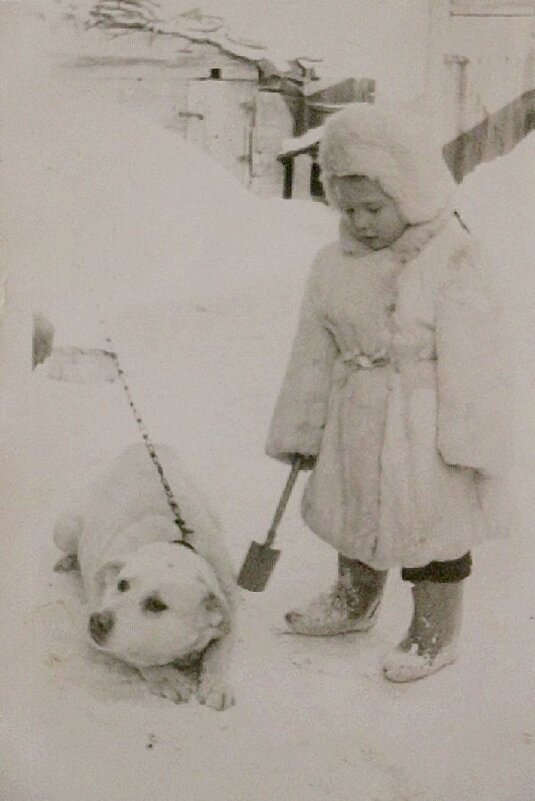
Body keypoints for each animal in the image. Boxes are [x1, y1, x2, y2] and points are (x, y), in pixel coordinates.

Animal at [54, 444, 237, 712]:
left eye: (156, 605)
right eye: (122, 584)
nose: (97, 621)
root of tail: (142, 446)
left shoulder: (229, 611)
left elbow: (220, 654)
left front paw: (216, 684)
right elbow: (138, 656)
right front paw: (166, 677)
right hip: (64, 530)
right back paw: (68, 560)